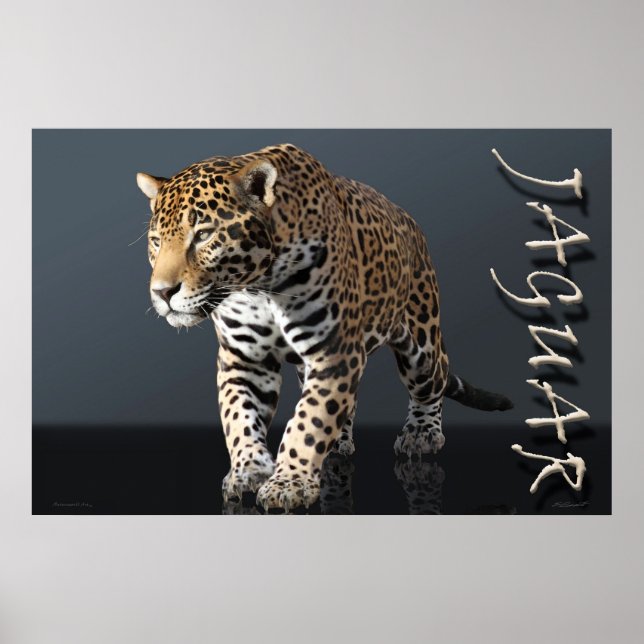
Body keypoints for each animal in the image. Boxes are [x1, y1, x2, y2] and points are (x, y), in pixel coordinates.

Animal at [137, 143, 512, 512]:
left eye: (203, 235)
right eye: (156, 241)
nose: (162, 292)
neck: (260, 287)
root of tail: (411, 223)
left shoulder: (334, 352)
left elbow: (310, 419)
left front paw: (288, 483)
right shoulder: (244, 358)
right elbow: (239, 416)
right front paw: (248, 471)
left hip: (422, 341)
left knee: (430, 384)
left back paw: (422, 434)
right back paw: (338, 443)